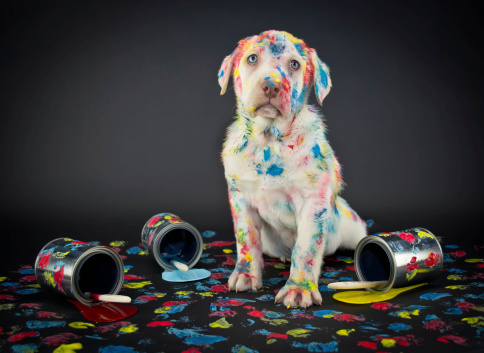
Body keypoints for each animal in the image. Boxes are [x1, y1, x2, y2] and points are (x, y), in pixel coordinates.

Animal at [218, 30, 366, 306]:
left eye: (295, 64)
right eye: (252, 58)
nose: (271, 85)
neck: (269, 141)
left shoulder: (313, 203)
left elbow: (305, 248)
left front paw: (299, 288)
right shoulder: (240, 198)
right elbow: (246, 241)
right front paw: (245, 274)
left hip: (350, 223)